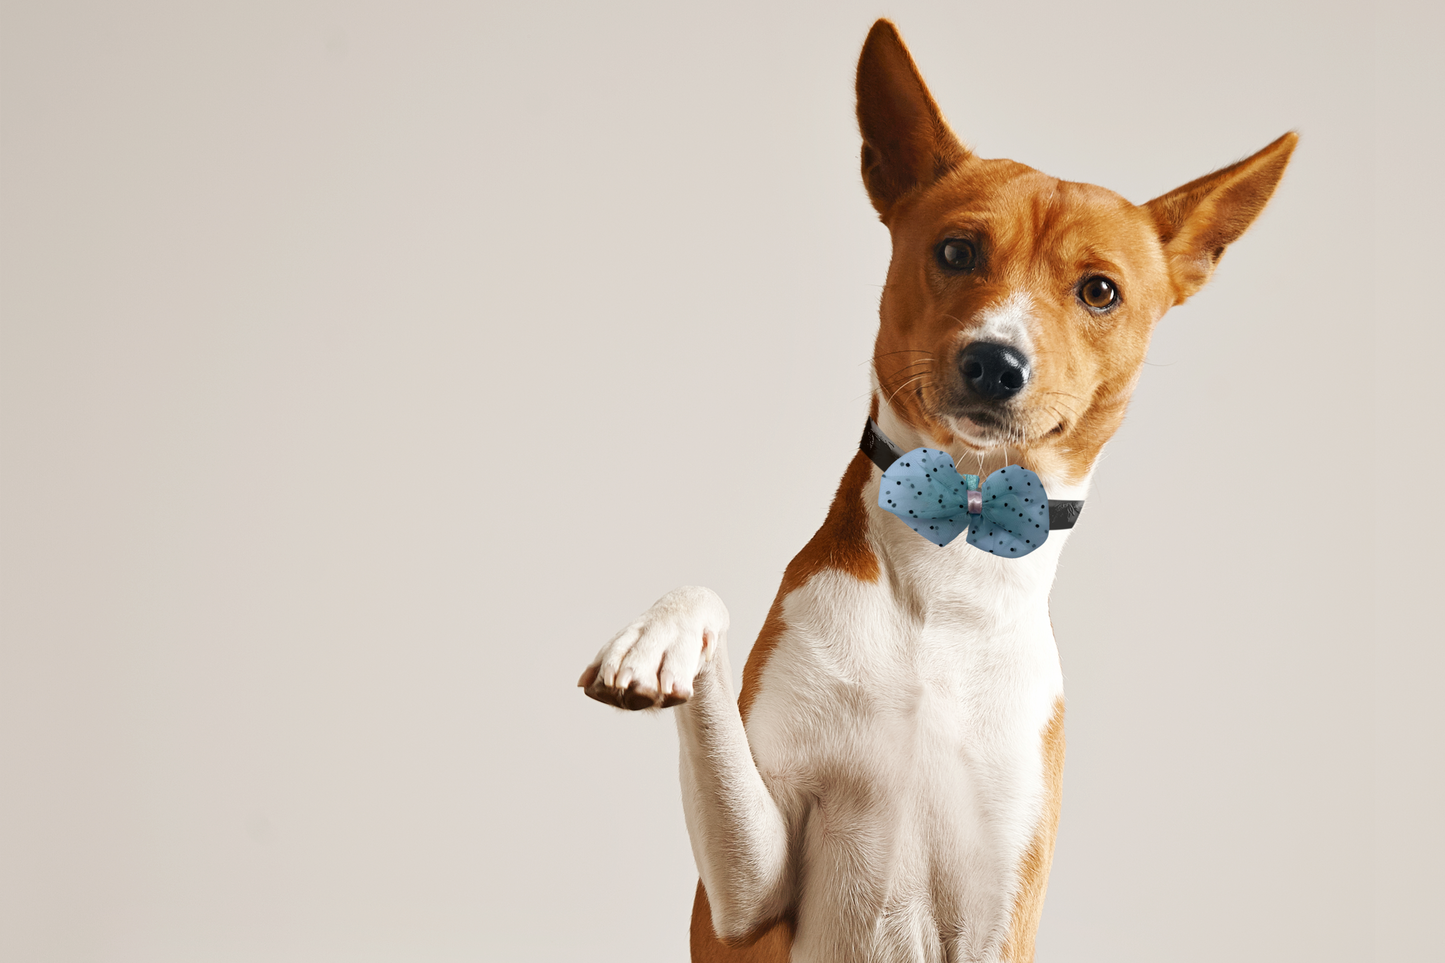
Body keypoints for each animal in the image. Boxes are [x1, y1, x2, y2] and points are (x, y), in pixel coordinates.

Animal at [575, 16, 1300, 960]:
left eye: (1099, 291)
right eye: (957, 250)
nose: (995, 361)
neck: (953, 562)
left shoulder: (1001, 911)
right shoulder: (743, 904)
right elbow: (705, 609)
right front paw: (656, 640)